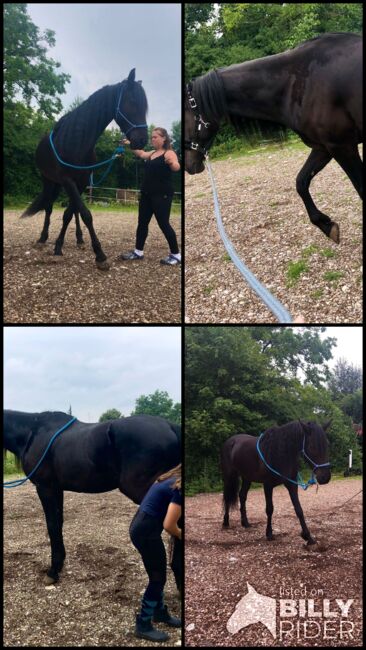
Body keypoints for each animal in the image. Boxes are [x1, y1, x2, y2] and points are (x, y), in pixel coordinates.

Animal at [2, 404, 180, 584]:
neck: (33, 432)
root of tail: (169, 426)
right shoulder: (56, 489)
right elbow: (59, 523)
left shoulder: (45, 488)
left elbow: (52, 525)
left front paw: (53, 571)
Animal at [21, 66, 147, 268]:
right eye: (132, 102)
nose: (142, 140)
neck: (78, 141)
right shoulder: (67, 180)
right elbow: (85, 214)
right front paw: (100, 255)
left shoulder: (81, 182)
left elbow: (70, 213)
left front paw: (59, 245)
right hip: (49, 181)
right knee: (48, 207)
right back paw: (42, 238)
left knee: (72, 211)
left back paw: (79, 239)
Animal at [184, 32, 362, 243]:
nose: (188, 165)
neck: (298, 81)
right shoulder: (323, 147)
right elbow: (301, 182)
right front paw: (327, 225)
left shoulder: (342, 146)